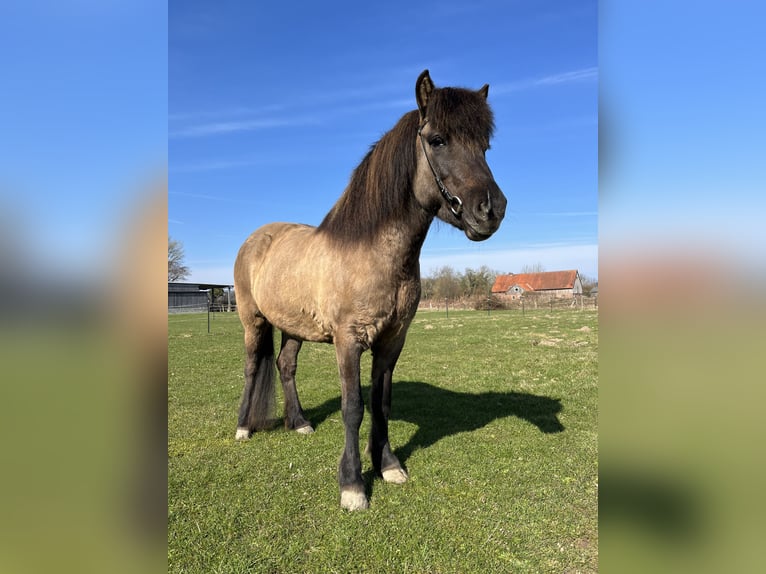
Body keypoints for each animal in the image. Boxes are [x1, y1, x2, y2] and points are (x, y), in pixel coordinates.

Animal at [233, 70, 507, 511]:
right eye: (437, 140)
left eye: (485, 146)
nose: (492, 210)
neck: (373, 252)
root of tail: (257, 238)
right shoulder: (349, 341)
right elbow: (353, 408)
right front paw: (352, 484)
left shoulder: (392, 341)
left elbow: (381, 403)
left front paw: (388, 465)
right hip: (252, 321)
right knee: (253, 366)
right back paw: (243, 427)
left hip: (293, 327)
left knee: (285, 365)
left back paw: (300, 423)